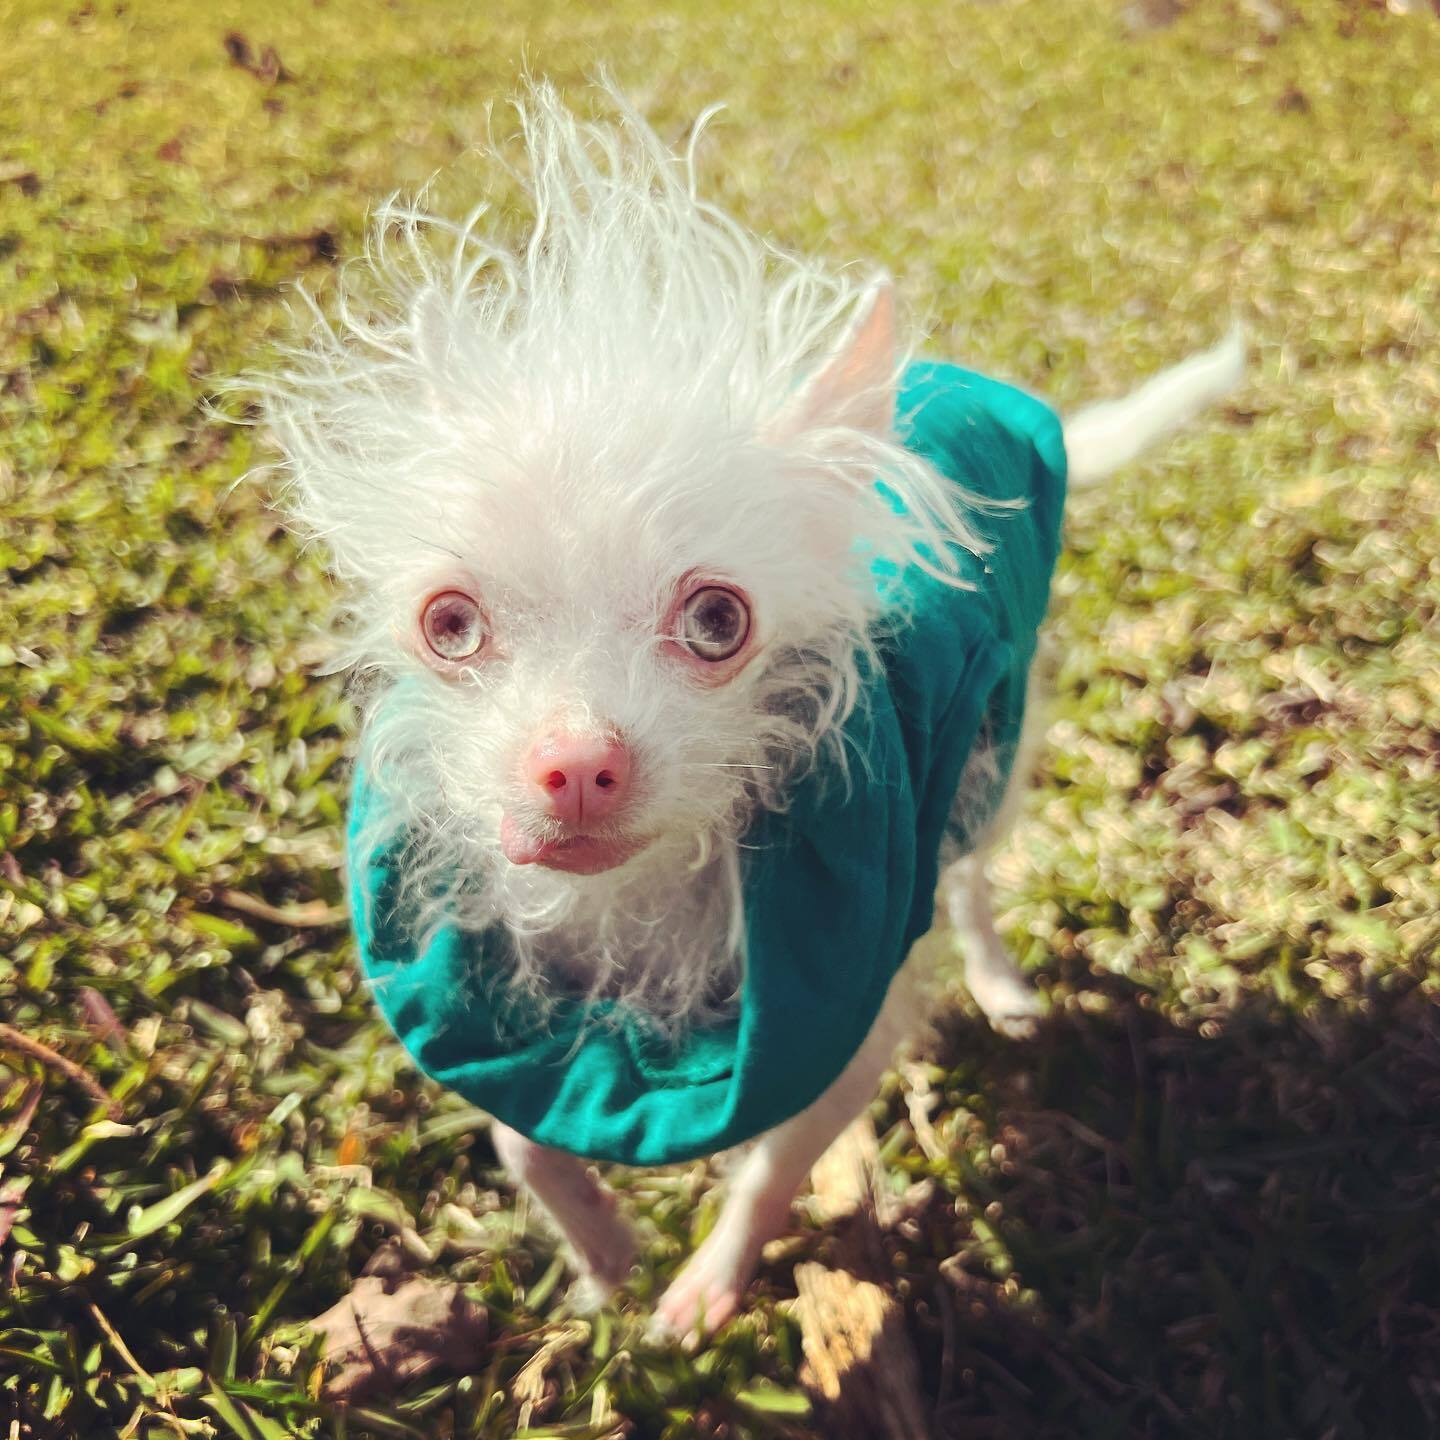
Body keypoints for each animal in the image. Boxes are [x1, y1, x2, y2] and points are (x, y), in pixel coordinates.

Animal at [256, 84, 1238, 1342]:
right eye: (448, 624)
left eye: (719, 620)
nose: (573, 763)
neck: (630, 901)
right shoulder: (491, 1014)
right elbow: (521, 1143)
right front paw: (602, 1260)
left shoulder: (848, 1021)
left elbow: (773, 1166)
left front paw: (705, 1289)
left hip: (992, 744)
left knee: (972, 878)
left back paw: (1001, 984)